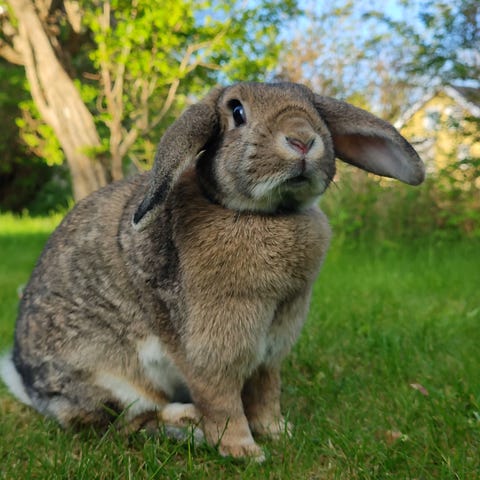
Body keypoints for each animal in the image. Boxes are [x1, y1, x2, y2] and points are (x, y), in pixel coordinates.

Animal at [0, 82, 424, 461]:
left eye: (315, 108)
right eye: (237, 112)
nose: (302, 139)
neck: (265, 213)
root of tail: (28, 384)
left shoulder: (270, 350)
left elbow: (266, 392)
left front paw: (279, 432)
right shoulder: (211, 348)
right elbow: (221, 400)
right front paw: (244, 451)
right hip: (108, 377)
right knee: (128, 421)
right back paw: (190, 424)